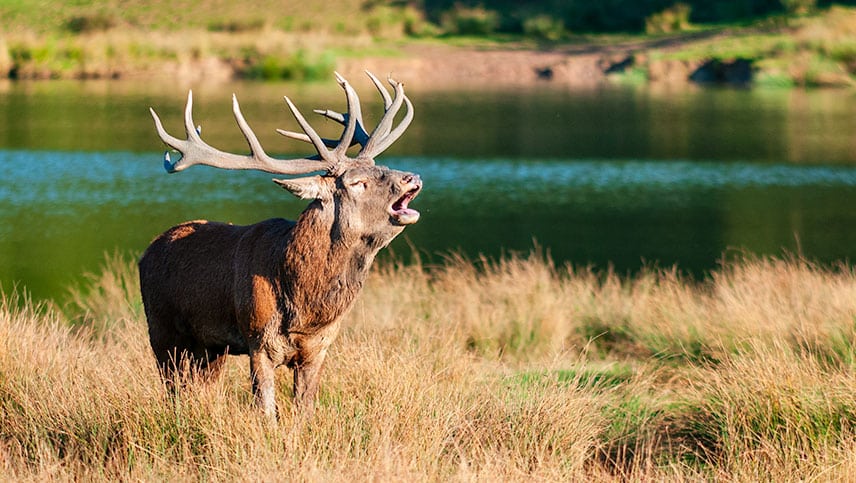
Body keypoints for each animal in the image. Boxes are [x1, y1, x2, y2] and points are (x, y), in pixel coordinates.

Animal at [138, 71, 421, 418]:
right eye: (357, 182)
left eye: (382, 166)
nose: (411, 177)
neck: (305, 308)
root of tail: (147, 251)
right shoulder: (258, 340)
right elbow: (265, 410)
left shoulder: (319, 348)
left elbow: (305, 410)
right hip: (161, 329)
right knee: (172, 387)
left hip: (211, 348)